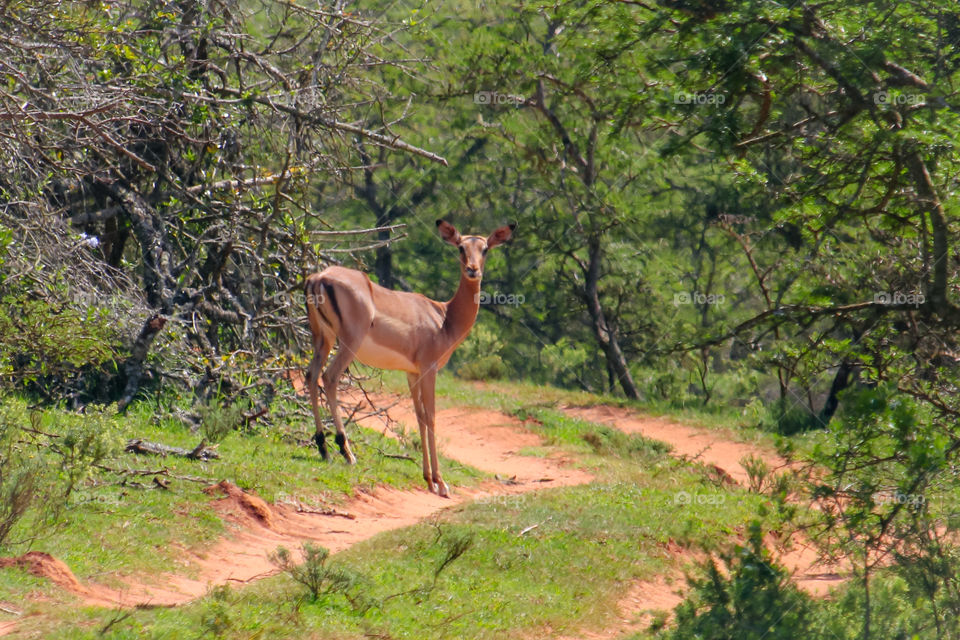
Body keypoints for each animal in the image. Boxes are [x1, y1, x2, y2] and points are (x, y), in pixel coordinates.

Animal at [304, 219, 515, 497]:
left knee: (310, 375)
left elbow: (419, 416)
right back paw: (347, 453)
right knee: (329, 378)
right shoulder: (429, 368)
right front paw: (441, 482)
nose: (473, 270)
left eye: (485, 249)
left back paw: (323, 448)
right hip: (348, 343)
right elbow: (432, 416)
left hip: (323, 339)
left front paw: (428, 479)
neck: (445, 318)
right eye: (460, 247)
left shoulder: (411, 373)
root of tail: (318, 278)